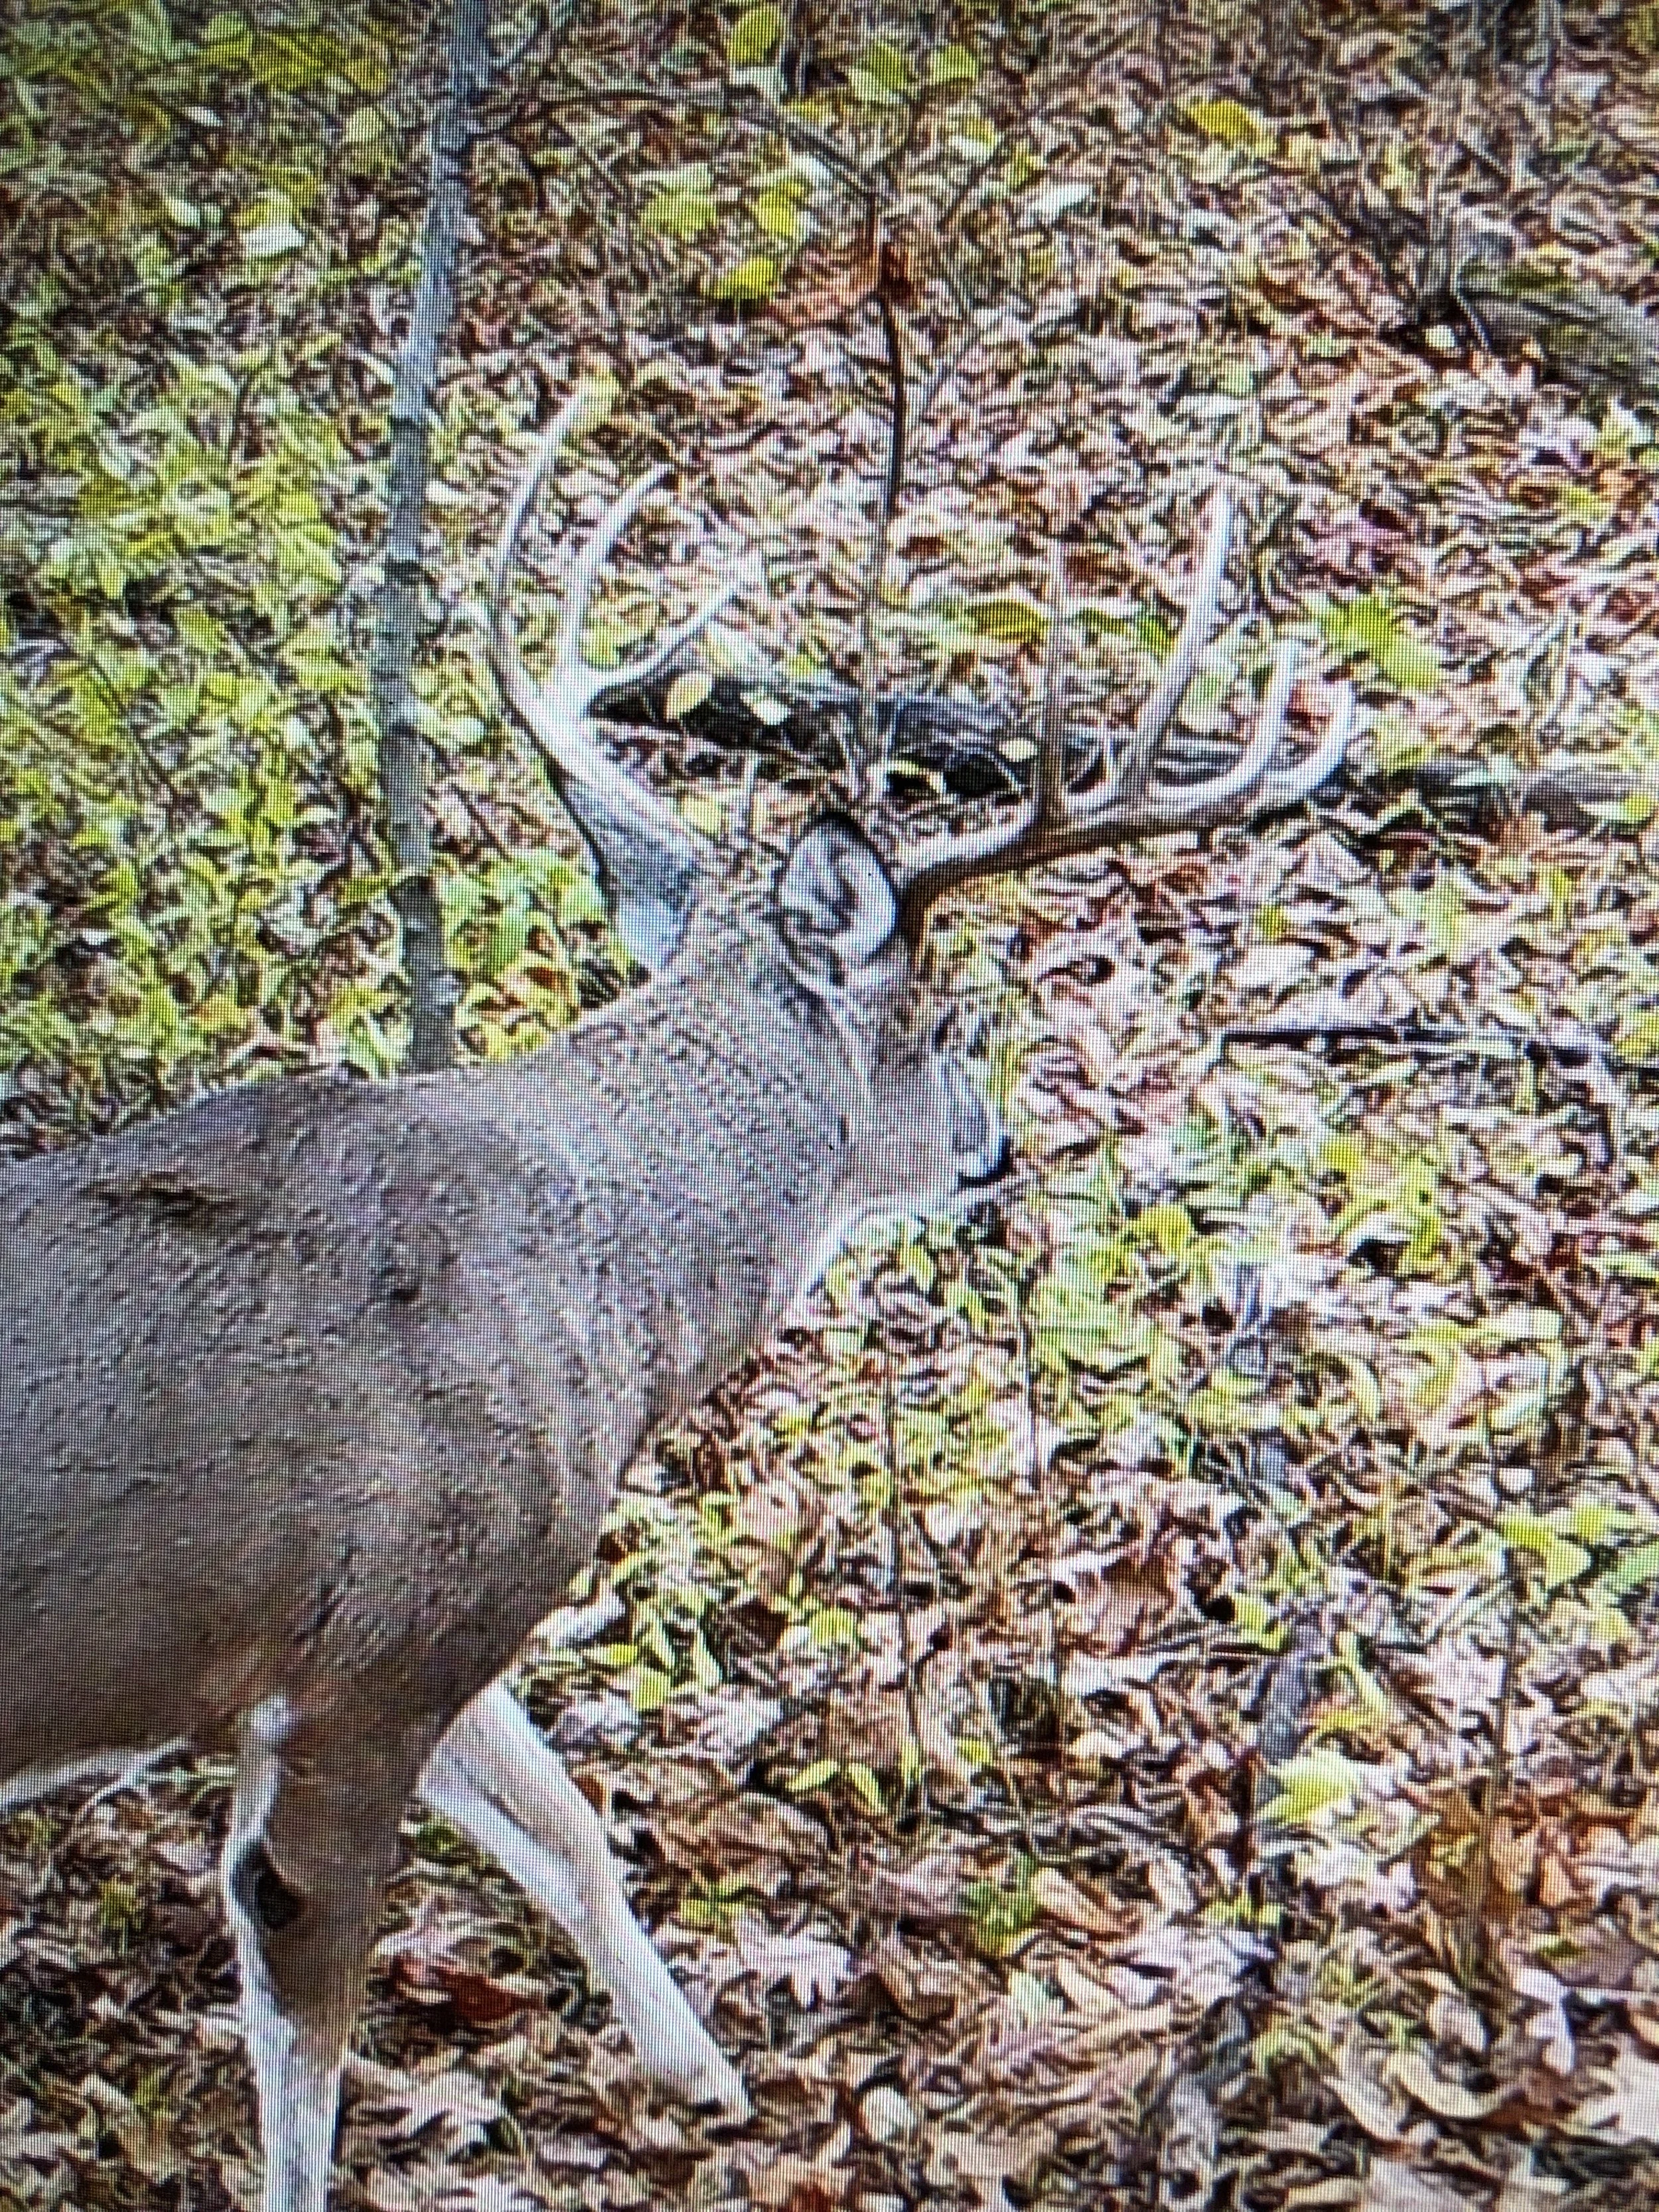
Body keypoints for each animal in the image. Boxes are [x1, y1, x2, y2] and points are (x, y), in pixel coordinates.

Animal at [0, 387, 1353, 2212]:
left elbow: (570, 1826)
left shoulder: (442, 1624)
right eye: (944, 1026)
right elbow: (308, 2025)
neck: (596, 1282)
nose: (1001, 1146)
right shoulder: (371, 1650)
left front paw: (701, 2071)